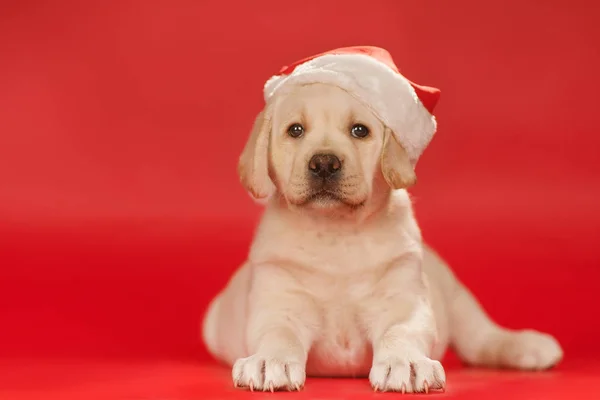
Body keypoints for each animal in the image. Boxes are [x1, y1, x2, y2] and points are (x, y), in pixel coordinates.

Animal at [202, 83, 564, 392]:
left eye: (360, 130)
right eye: (295, 130)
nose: (324, 163)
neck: (336, 233)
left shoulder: (404, 301)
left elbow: (399, 332)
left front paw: (407, 363)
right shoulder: (279, 302)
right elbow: (279, 332)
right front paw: (269, 361)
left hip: (457, 299)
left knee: (481, 338)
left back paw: (527, 346)